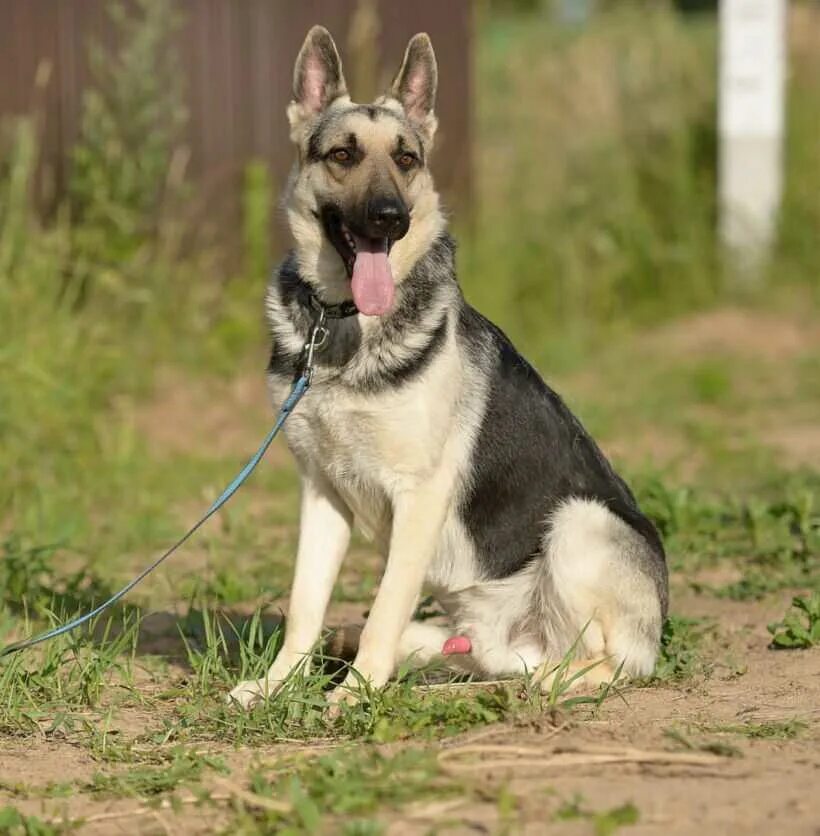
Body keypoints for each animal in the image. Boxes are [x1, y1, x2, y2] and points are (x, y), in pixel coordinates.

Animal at [227, 22, 668, 708]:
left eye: (406, 159)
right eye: (343, 155)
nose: (390, 218)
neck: (343, 321)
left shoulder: (419, 498)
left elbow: (383, 609)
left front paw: (353, 697)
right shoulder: (321, 494)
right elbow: (305, 605)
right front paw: (279, 685)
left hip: (580, 524)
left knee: (596, 662)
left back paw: (533, 683)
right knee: (484, 651)